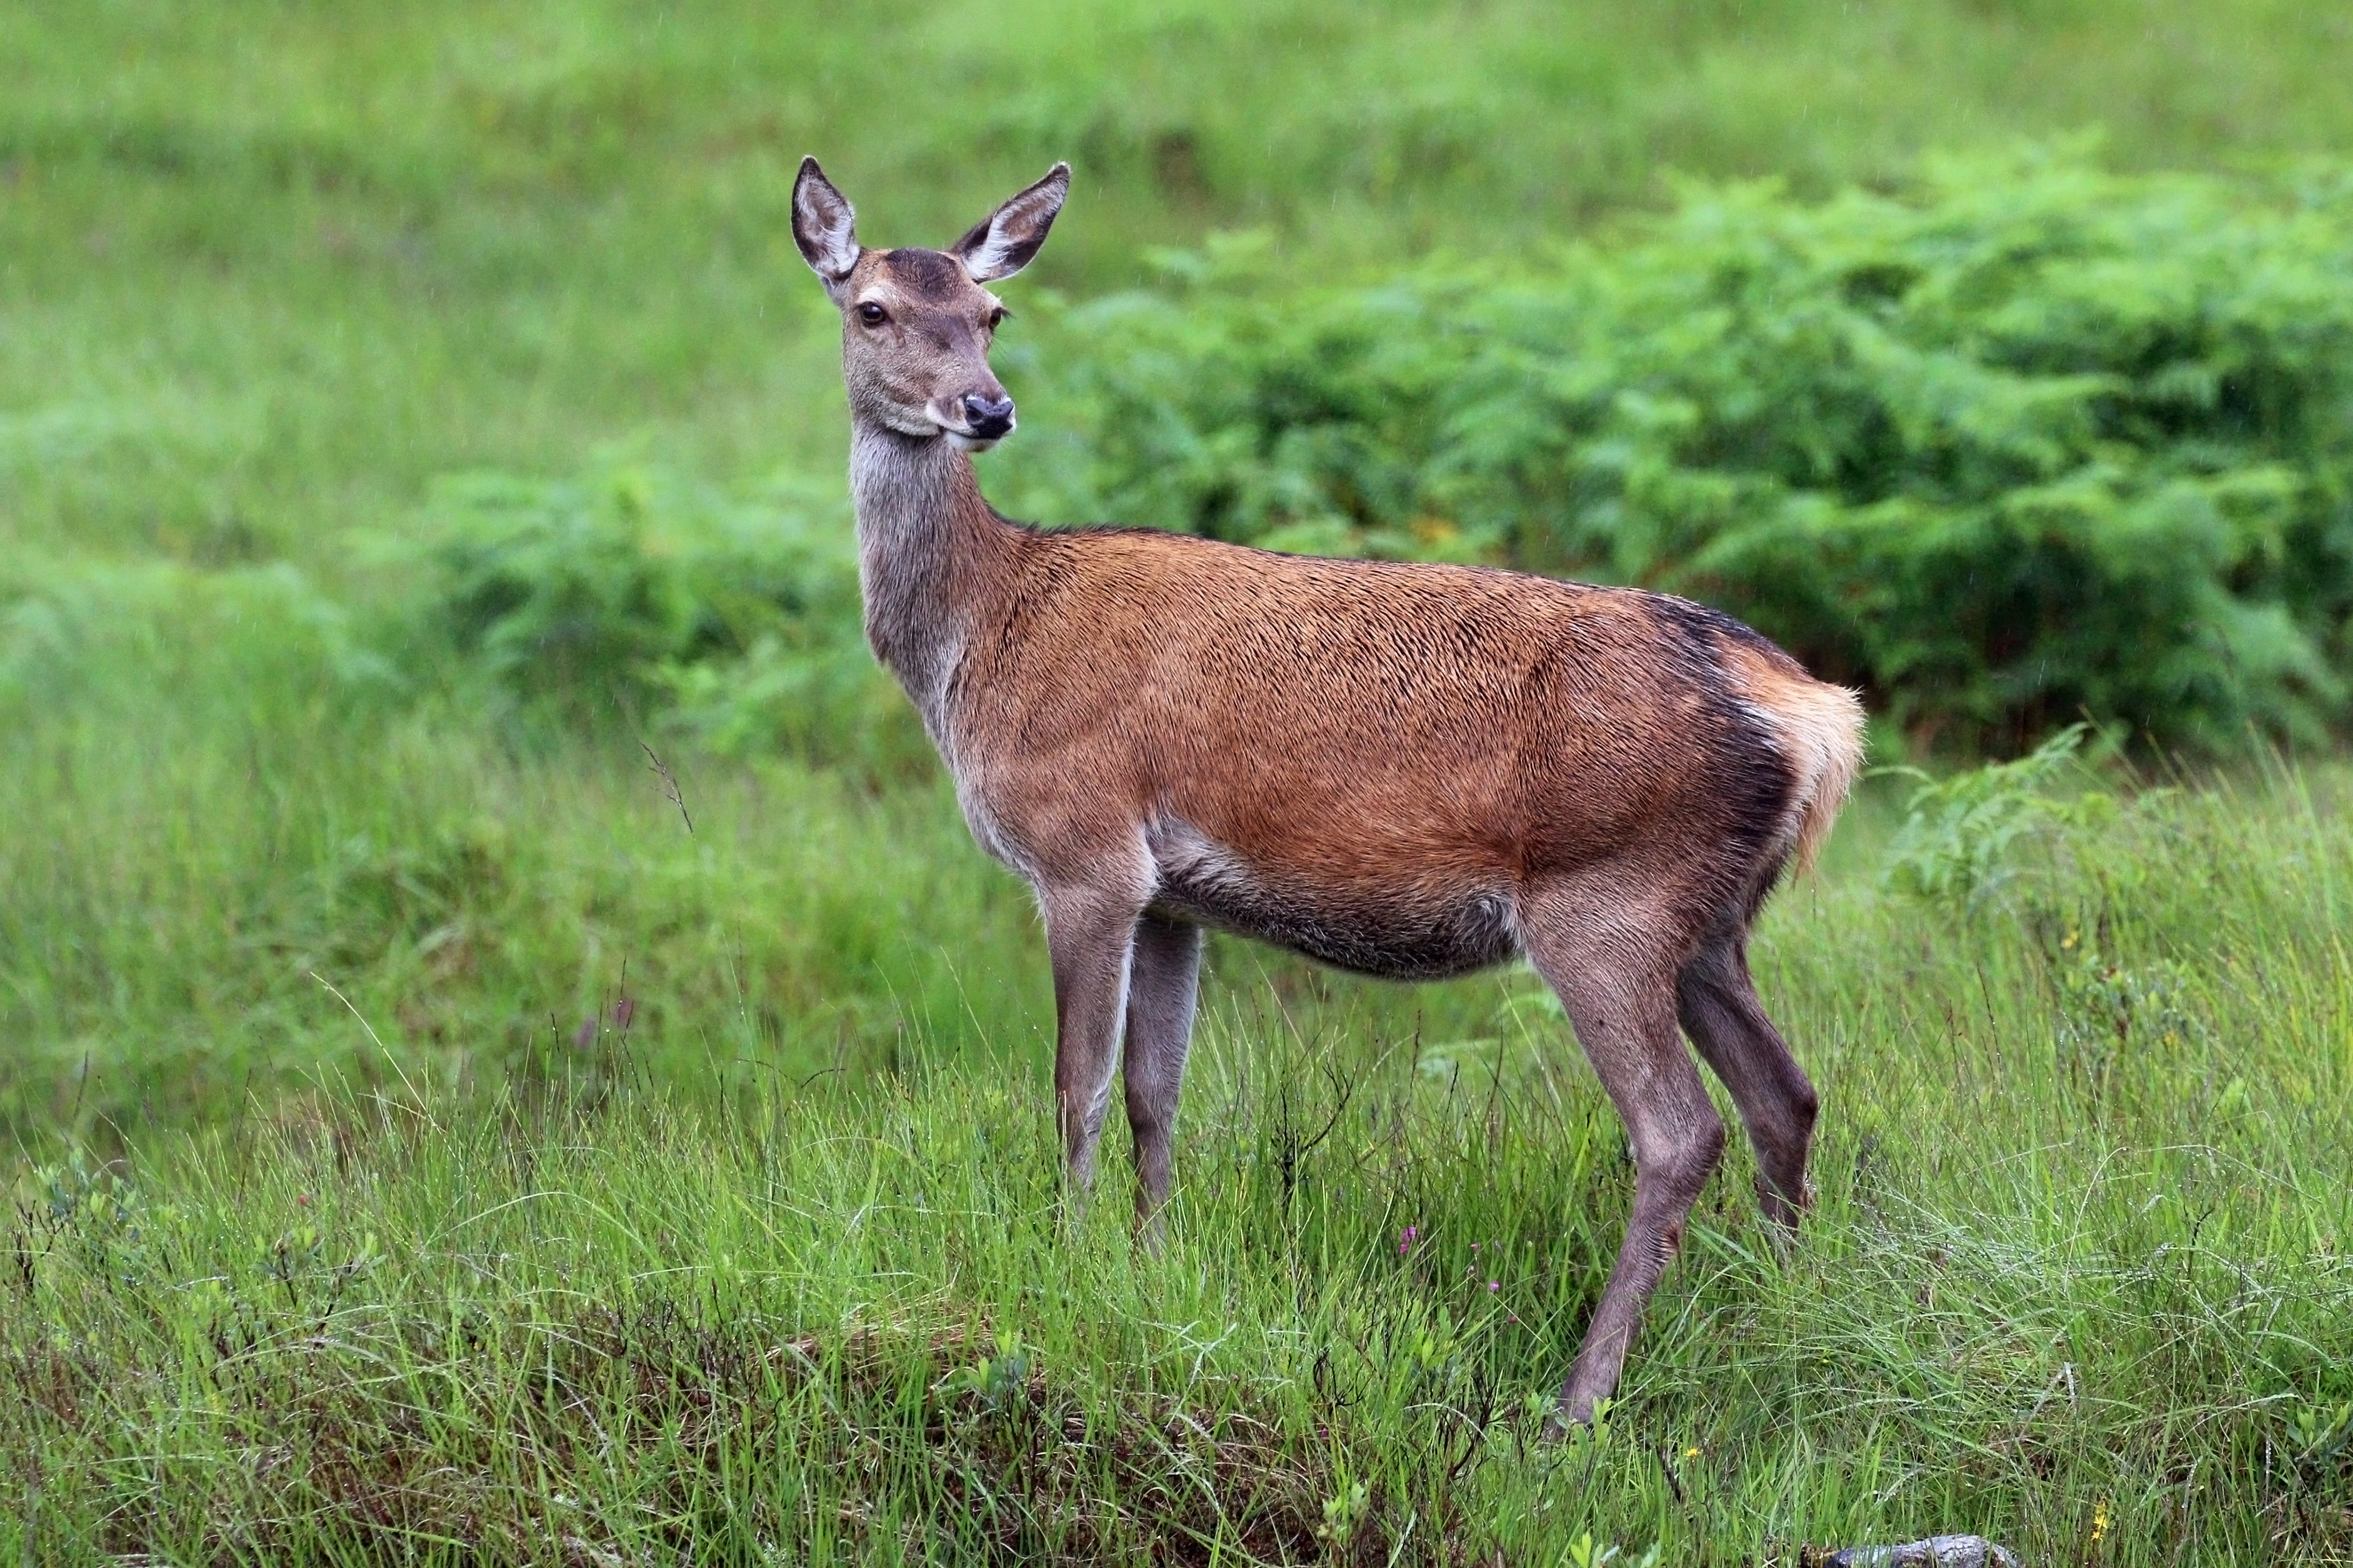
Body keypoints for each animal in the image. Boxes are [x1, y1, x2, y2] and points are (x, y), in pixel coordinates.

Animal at [800, 159, 1864, 1419]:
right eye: (874, 310)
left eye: (992, 313)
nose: (987, 408)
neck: (976, 635)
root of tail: (1813, 715)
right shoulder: (1171, 895)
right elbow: (1158, 1094)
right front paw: (1148, 1273)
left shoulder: (1081, 852)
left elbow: (1077, 1088)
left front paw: (1063, 1269)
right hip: (1711, 919)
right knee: (1785, 1095)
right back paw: (1778, 1320)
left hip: (1608, 897)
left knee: (1678, 1130)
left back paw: (1576, 1400)